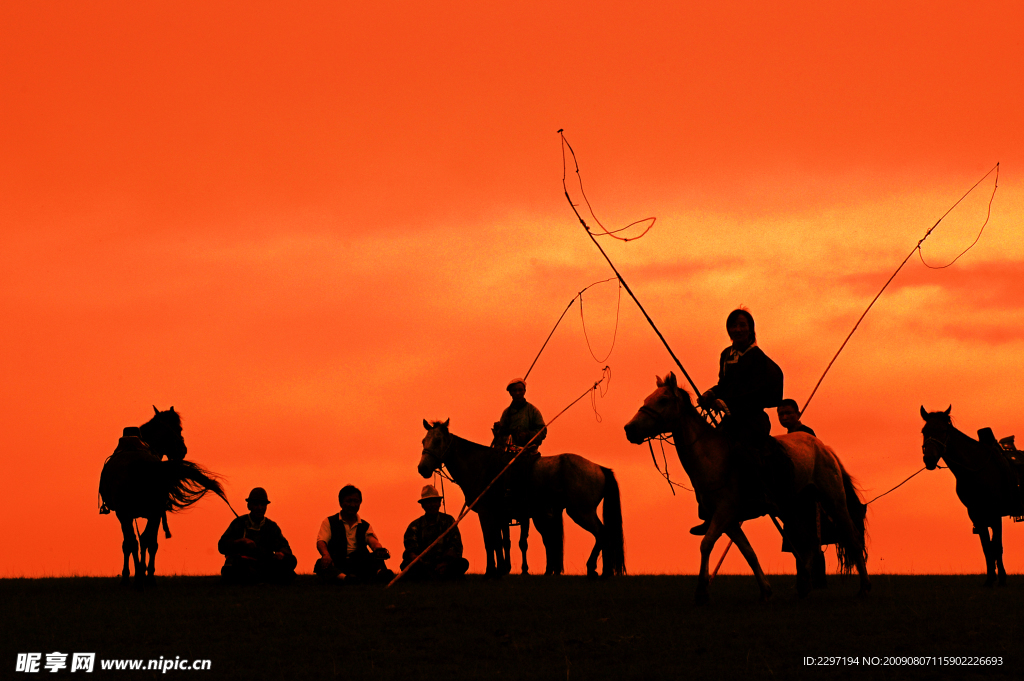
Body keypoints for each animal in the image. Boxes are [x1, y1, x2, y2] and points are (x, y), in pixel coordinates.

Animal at [98, 405, 227, 585]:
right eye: (179, 428)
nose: (183, 450)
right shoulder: (147, 514)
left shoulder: (134, 515)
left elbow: (133, 543)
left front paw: (134, 574)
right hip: (145, 513)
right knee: (143, 541)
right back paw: (142, 576)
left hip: (133, 514)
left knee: (136, 541)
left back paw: (141, 576)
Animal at [417, 419, 622, 577]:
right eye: (423, 441)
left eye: (437, 440)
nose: (423, 468)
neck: (482, 466)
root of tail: (599, 468)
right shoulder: (500, 516)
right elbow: (499, 542)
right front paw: (500, 570)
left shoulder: (486, 513)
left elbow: (489, 541)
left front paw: (490, 572)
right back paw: (603, 571)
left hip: (581, 512)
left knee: (602, 533)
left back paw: (593, 568)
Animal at [618, 374, 868, 602]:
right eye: (647, 399)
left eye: (663, 400)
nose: (629, 429)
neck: (712, 456)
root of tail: (823, 447)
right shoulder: (728, 520)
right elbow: (748, 552)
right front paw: (765, 590)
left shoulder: (725, 512)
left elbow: (706, 544)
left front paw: (701, 592)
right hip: (792, 507)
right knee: (807, 542)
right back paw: (805, 585)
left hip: (833, 500)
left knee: (852, 538)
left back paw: (863, 589)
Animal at [921, 403, 1024, 585]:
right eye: (924, 431)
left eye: (944, 430)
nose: (930, 459)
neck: (977, 469)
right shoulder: (976, 514)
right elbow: (986, 547)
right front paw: (990, 580)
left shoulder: (995, 513)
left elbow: (996, 546)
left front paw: (1002, 579)